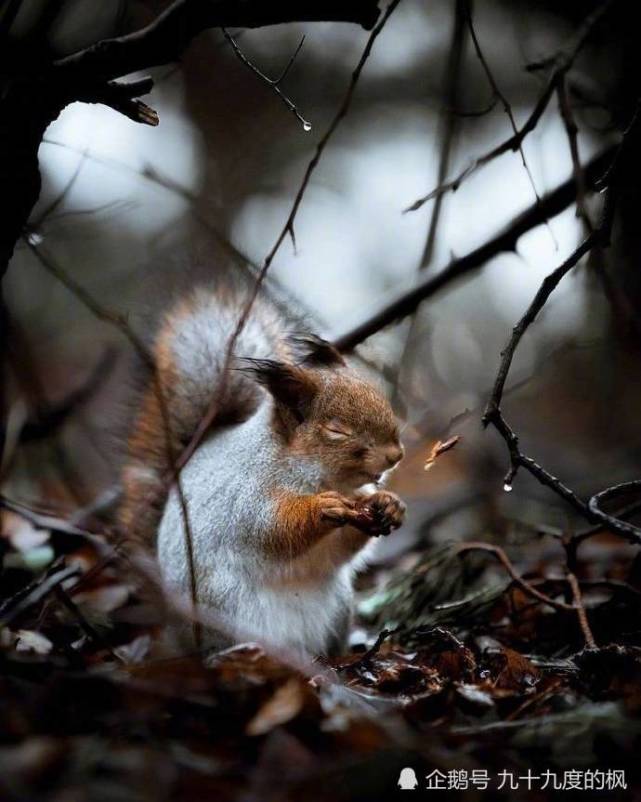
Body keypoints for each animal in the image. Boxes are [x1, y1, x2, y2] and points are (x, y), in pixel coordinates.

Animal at [119, 282, 404, 656]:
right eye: (337, 430)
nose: (396, 455)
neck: (321, 477)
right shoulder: (246, 495)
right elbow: (272, 528)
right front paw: (322, 508)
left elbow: (343, 546)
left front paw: (387, 504)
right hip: (228, 610)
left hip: (338, 607)